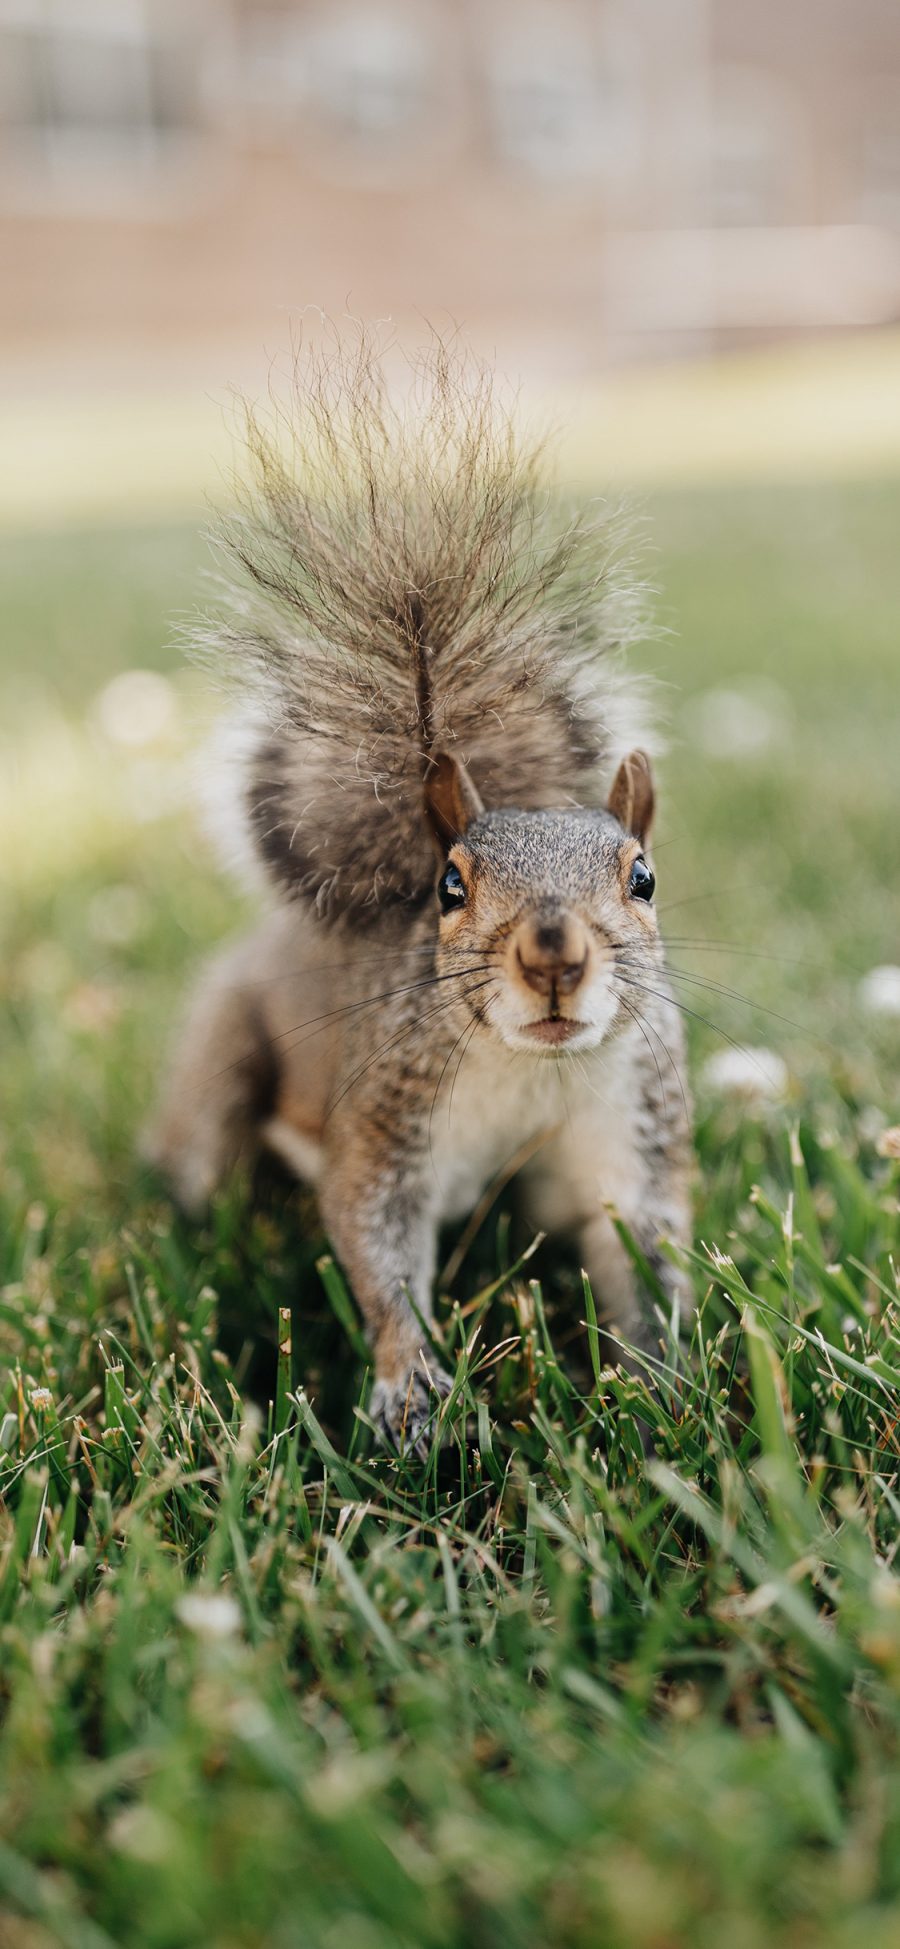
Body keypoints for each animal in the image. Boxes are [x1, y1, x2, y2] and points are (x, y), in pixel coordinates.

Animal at [148, 335, 693, 1457]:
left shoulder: (632, 1121)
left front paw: (660, 1389)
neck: (531, 1067)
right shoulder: (388, 1109)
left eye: (644, 876)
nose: (553, 956)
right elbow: (374, 1237)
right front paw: (413, 1391)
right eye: (451, 886)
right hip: (224, 1056)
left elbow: (641, 1250)